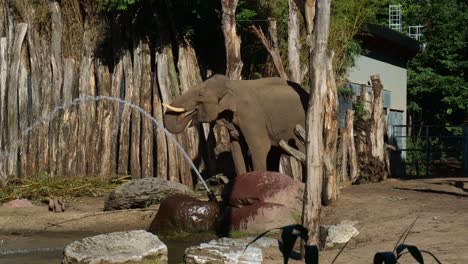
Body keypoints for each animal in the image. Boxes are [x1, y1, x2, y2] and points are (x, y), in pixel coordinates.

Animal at [163, 75, 308, 175]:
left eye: (200, 95)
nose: (191, 114)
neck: (231, 84)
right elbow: (236, 146)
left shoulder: (251, 115)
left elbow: (260, 147)